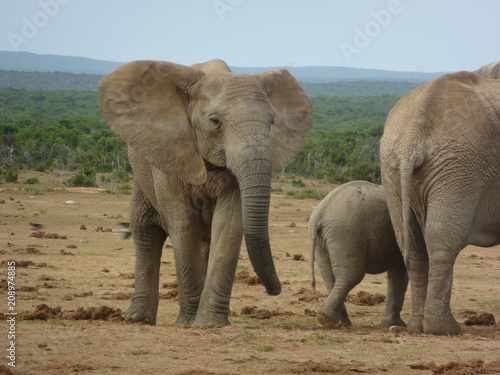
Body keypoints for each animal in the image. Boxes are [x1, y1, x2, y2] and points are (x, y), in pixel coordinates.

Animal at [97, 58, 312, 326]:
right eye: (215, 122)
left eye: (272, 122)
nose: (275, 290)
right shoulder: (170, 155)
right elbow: (184, 225)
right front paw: (187, 323)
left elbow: (229, 225)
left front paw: (209, 323)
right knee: (146, 230)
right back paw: (138, 319)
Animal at [310, 181, 408, 328]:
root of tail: (320, 213)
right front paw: (398, 325)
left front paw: (394, 324)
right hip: (346, 233)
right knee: (351, 275)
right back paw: (329, 319)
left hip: (324, 239)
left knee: (329, 277)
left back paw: (340, 322)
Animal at [380, 63, 498, 336]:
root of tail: (413, 135)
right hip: (461, 166)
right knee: (443, 237)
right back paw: (443, 328)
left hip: (393, 167)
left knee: (412, 241)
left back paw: (417, 326)